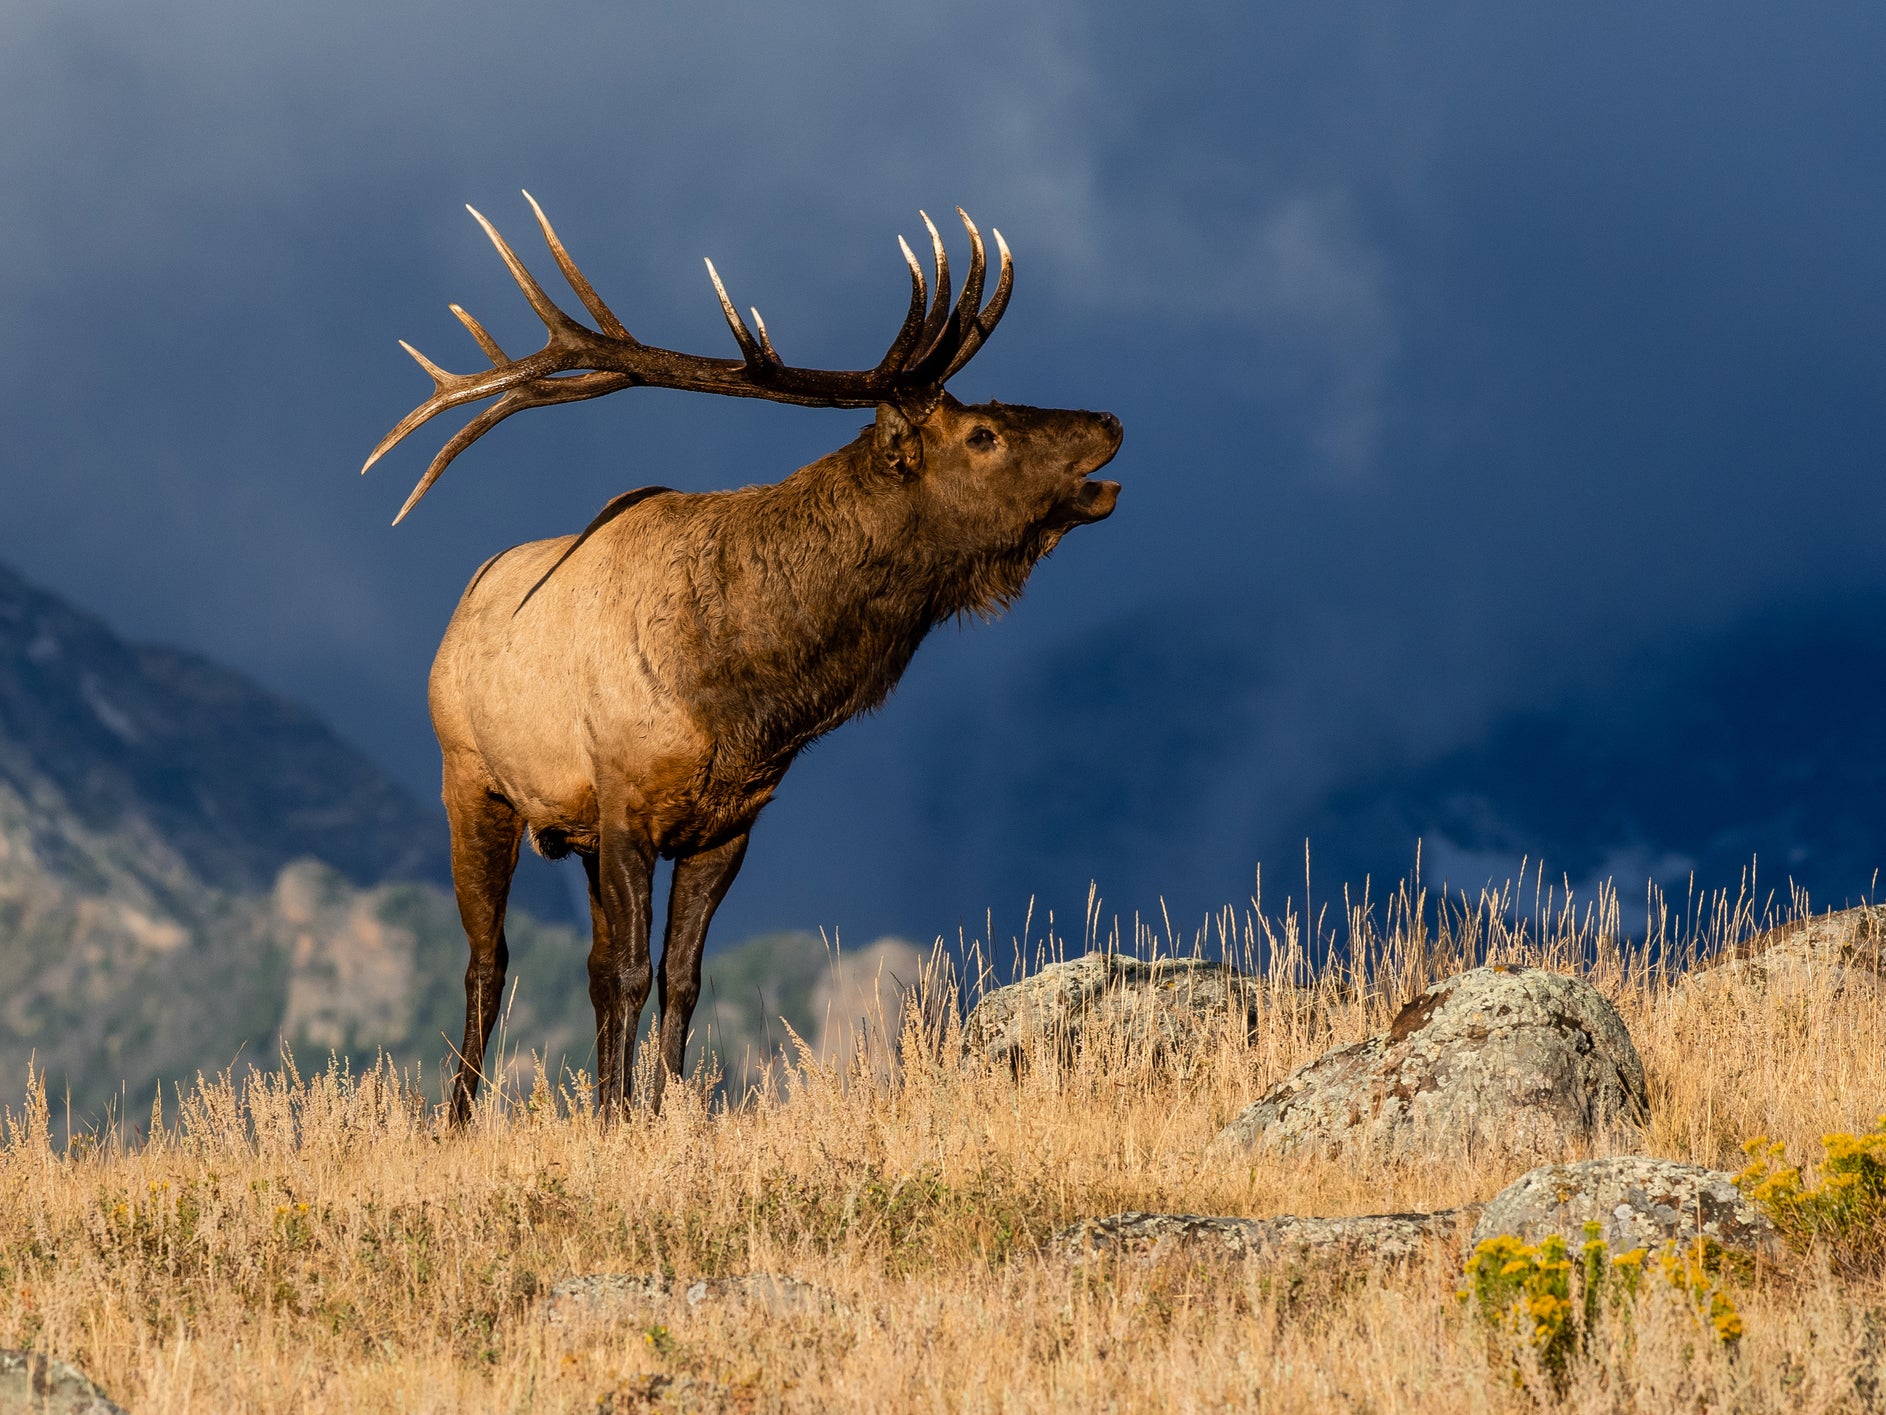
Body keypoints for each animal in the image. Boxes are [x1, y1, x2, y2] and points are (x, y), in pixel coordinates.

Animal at [363, 197, 1116, 1116]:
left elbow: (678, 978)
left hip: (570, 828)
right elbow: (629, 972)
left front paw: (654, 1111)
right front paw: (619, 1119)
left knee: (581, 963)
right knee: (487, 962)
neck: (742, 694)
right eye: (983, 433)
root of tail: (457, 609)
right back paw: (459, 1118)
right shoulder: (625, 799)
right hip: (471, 779)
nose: (1110, 421)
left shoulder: (729, 821)